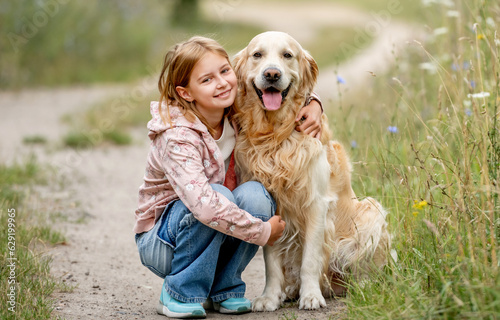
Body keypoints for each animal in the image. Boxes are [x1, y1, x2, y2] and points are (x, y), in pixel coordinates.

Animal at [232, 31, 392, 312]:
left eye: (287, 55)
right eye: (257, 54)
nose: (272, 74)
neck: (276, 136)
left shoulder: (317, 204)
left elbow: (310, 259)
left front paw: (311, 296)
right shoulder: (273, 205)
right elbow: (271, 262)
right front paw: (269, 297)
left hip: (370, 211)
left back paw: (362, 286)